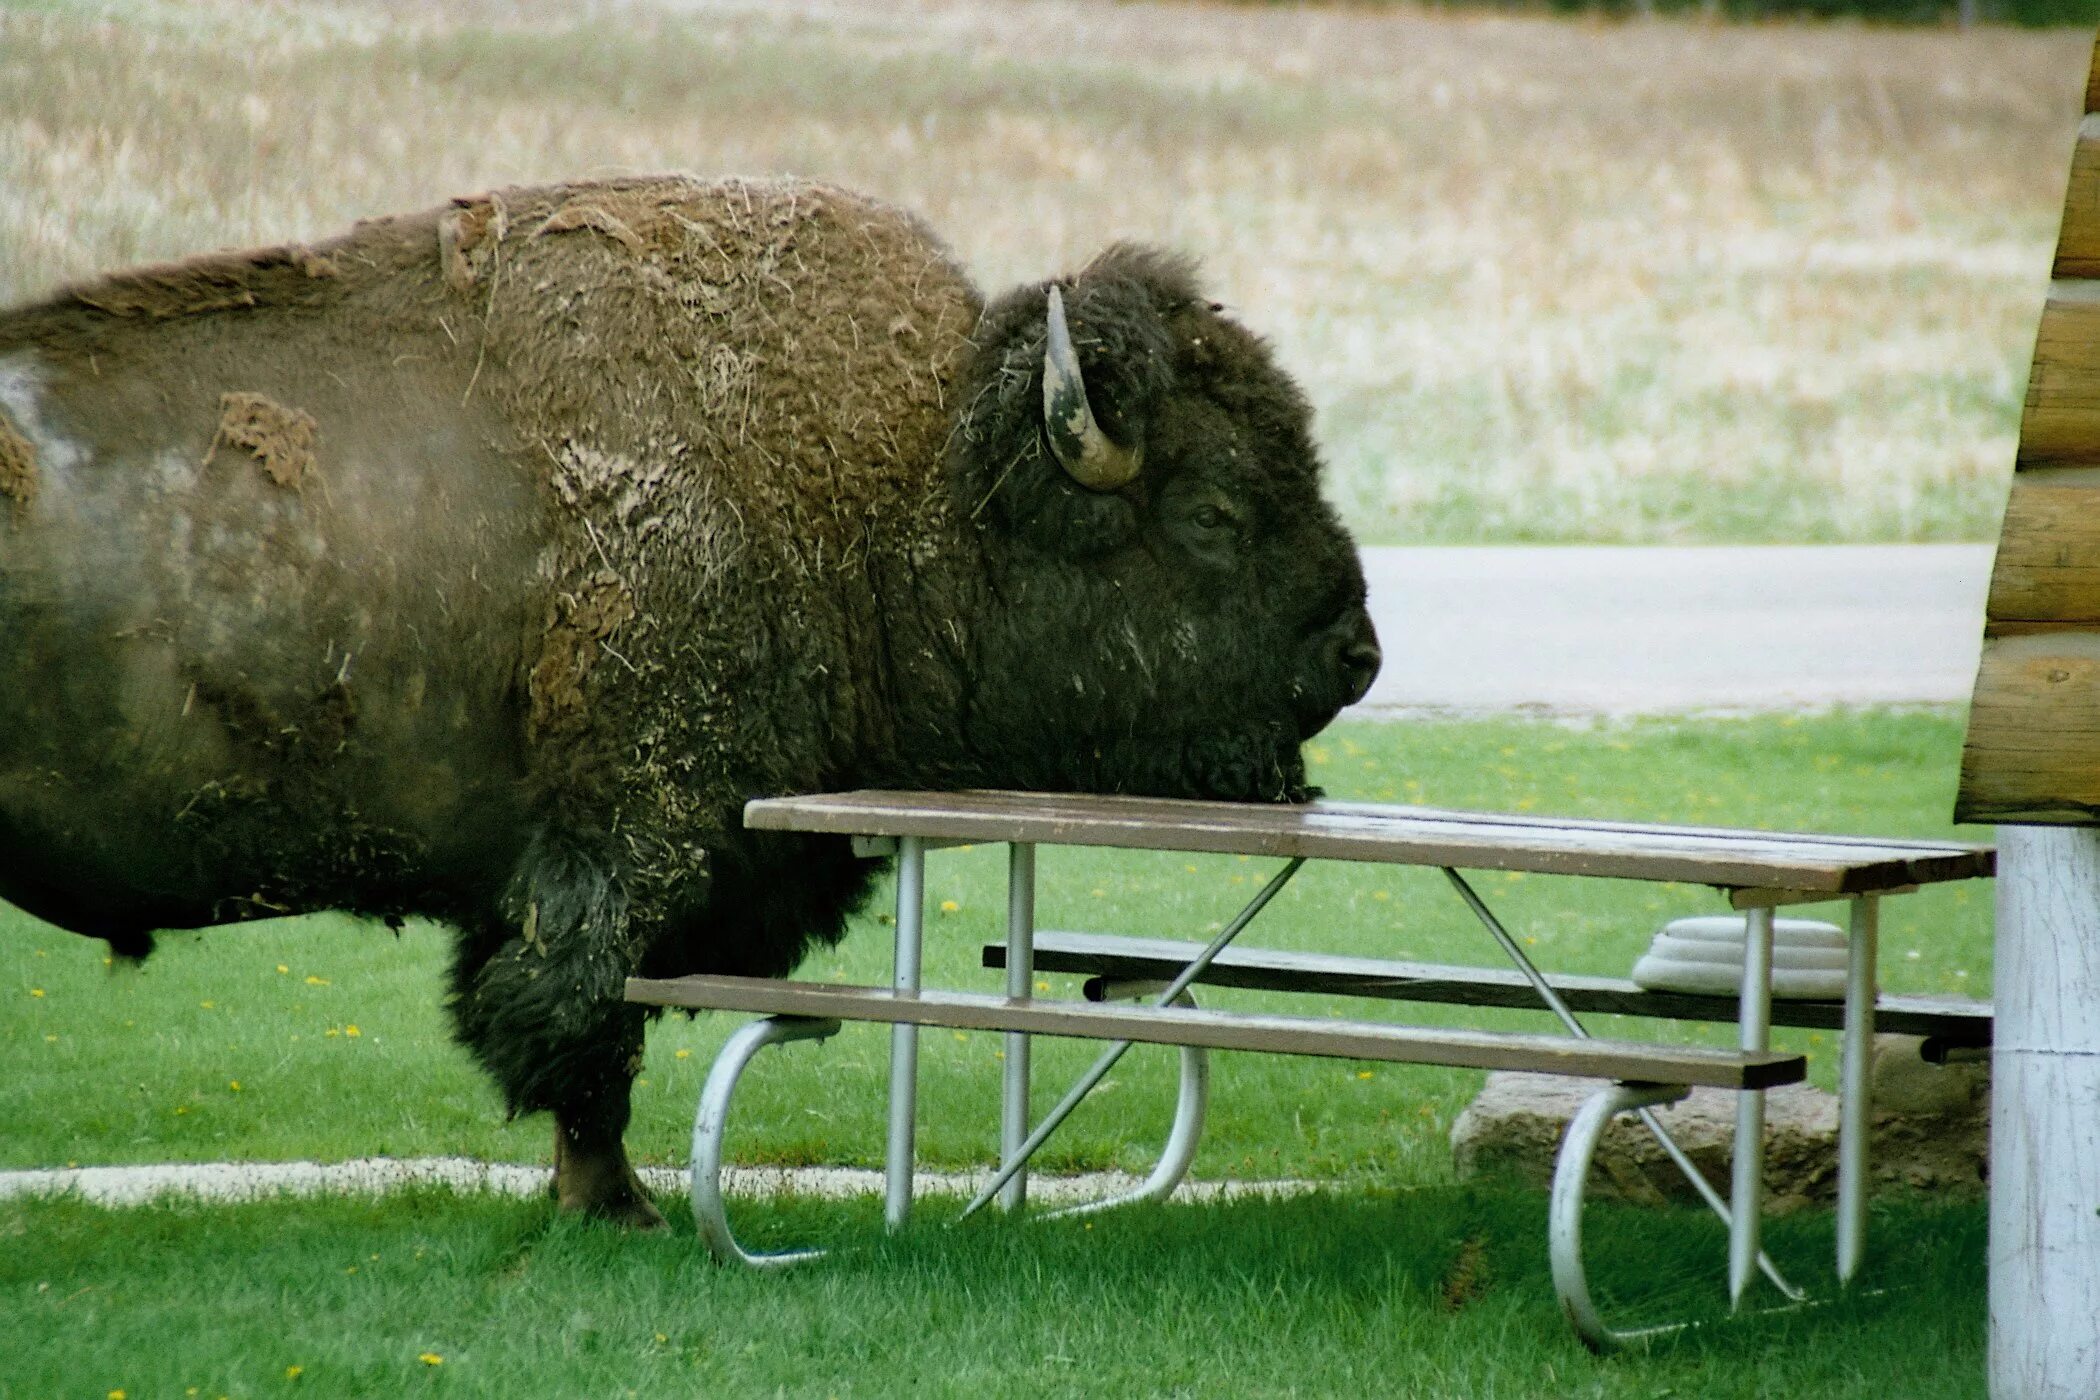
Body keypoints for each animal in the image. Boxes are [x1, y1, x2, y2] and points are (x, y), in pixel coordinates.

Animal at [0, 175, 1377, 1225]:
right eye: (1215, 512)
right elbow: (580, 1028)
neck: (891, 481)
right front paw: (618, 1205)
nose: (1358, 655)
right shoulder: (626, 845)